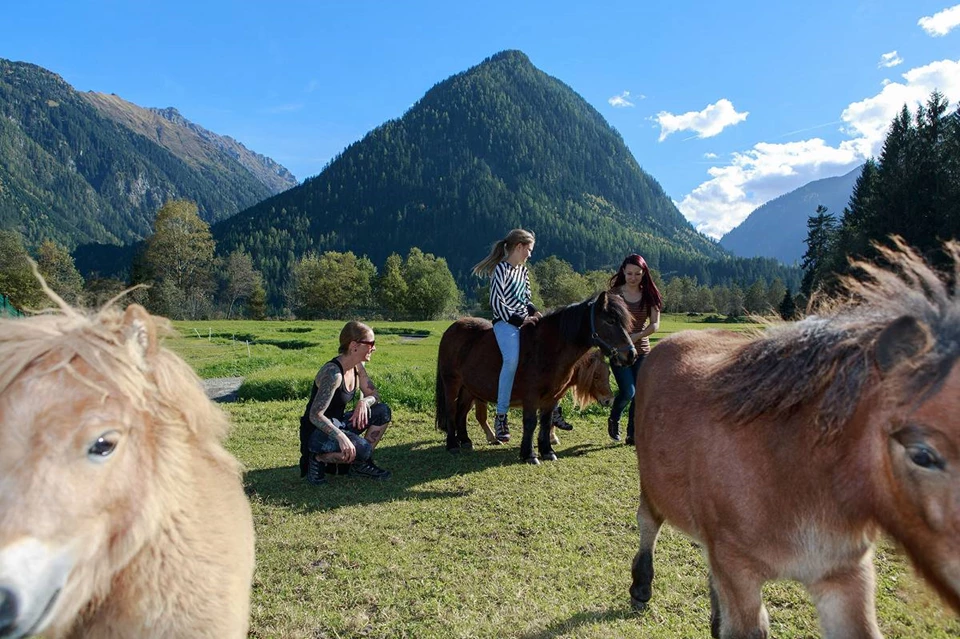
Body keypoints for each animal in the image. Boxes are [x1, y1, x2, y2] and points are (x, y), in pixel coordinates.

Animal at [632, 238, 960, 636]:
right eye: (922, 455)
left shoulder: (844, 574)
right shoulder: (738, 571)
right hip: (653, 485)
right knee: (648, 521)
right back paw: (641, 584)